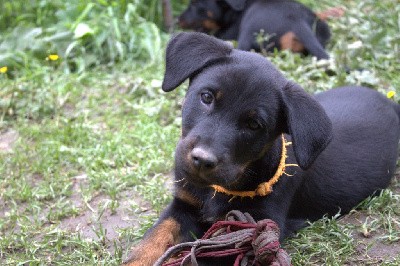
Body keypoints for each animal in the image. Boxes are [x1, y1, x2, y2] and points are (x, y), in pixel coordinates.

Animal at [125, 32, 400, 264]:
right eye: (206, 97)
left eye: (254, 124)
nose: (202, 160)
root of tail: (388, 102)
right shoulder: (182, 206)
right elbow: (153, 239)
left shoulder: (256, 223)